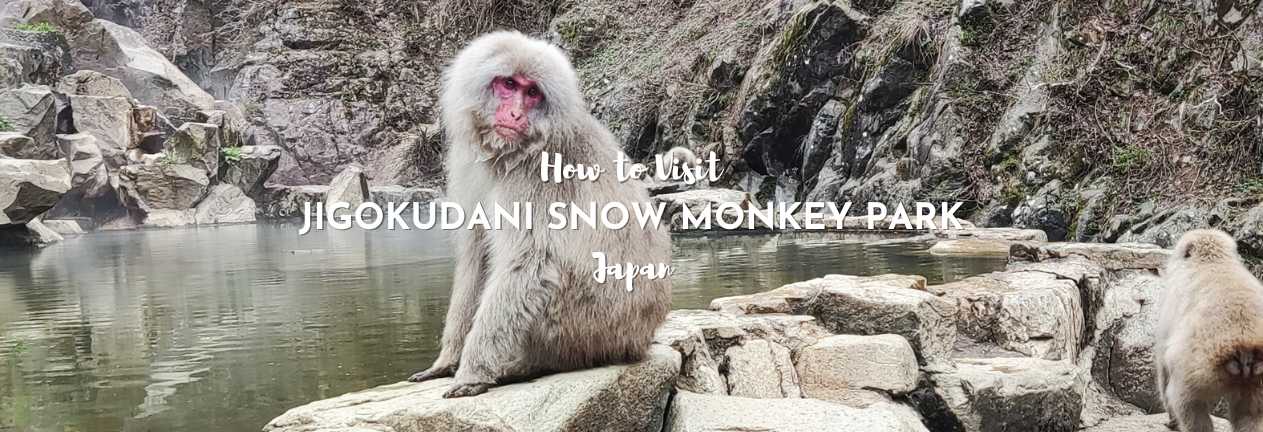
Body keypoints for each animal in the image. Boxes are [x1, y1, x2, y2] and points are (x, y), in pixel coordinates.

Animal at [405, 31, 673, 398]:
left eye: (532, 92)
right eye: (509, 84)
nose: (516, 113)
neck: (511, 154)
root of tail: (640, 339)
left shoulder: (539, 175)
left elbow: (530, 262)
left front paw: (472, 371)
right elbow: (475, 255)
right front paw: (447, 360)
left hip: (586, 328)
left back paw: (522, 366)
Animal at [1154, 229, 1263, 432]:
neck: (1213, 260)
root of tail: (1244, 349)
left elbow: (1162, 361)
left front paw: (1170, 420)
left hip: (1197, 367)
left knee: (1187, 402)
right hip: (1258, 376)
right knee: (1252, 414)